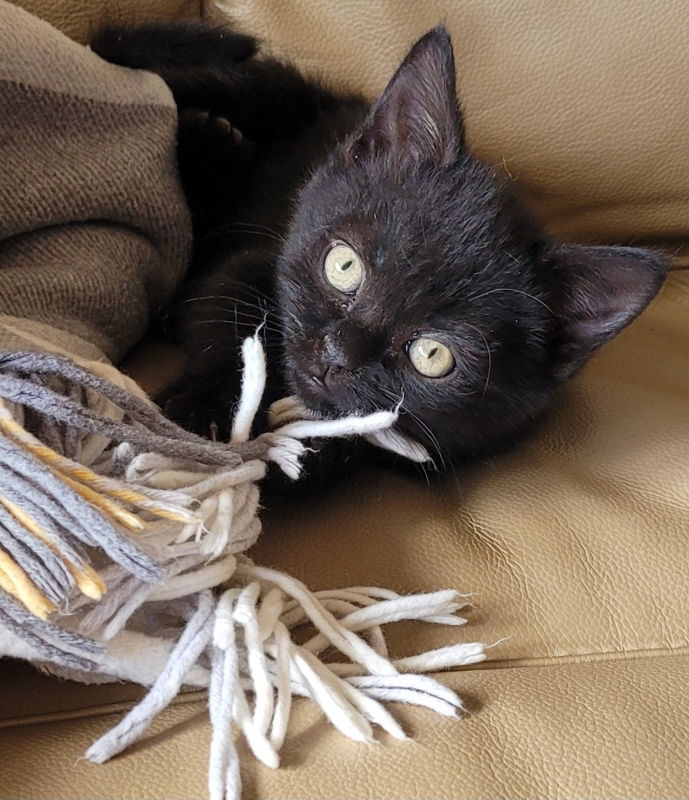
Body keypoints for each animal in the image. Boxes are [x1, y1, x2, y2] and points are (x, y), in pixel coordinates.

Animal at [92, 21, 668, 478]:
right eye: (344, 264)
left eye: (432, 355)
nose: (338, 354)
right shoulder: (257, 263)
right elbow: (226, 316)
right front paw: (203, 415)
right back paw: (208, 138)